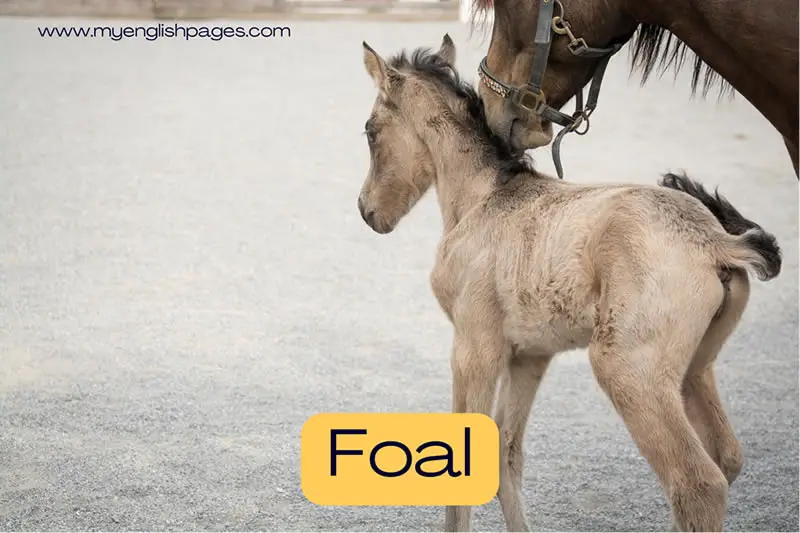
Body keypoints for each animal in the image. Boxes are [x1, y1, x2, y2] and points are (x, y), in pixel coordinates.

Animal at [356, 34, 782, 532]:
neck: (484, 197)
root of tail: (717, 242)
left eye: (370, 131)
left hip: (628, 367)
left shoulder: (474, 347)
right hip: (694, 367)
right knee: (725, 456)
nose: (367, 211)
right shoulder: (528, 355)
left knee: (697, 482)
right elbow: (505, 451)